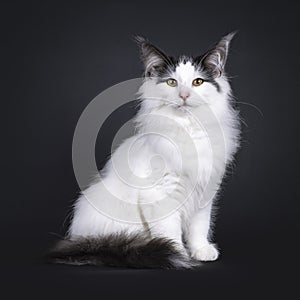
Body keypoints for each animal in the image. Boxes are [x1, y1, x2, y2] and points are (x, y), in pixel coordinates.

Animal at [49, 32, 241, 270]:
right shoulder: (161, 194)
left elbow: (199, 227)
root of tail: (83, 239)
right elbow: (169, 231)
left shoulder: (205, 191)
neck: (188, 129)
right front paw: (176, 253)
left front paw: (201, 251)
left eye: (198, 82)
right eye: (171, 82)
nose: (184, 95)